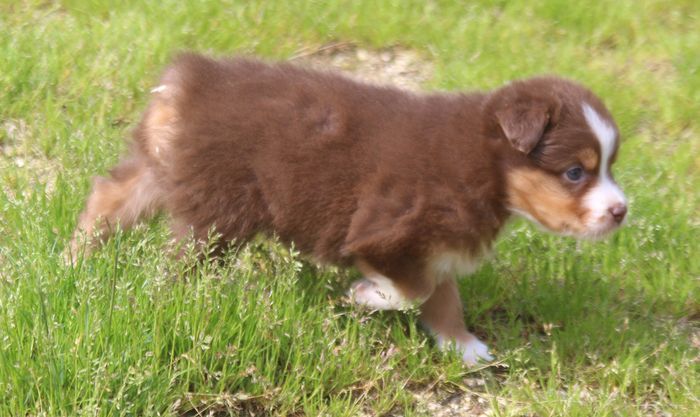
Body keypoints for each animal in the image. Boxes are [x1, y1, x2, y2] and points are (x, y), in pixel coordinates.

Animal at [69, 53, 627, 365]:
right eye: (575, 172)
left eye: (609, 165)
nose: (622, 211)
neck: (486, 165)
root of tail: (188, 84)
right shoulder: (387, 232)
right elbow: (416, 290)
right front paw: (363, 296)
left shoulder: (438, 244)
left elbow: (443, 295)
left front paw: (466, 349)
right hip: (219, 209)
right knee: (183, 261)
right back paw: (184, 299)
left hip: (161, 171)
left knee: (108, 197)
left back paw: (76, 258)